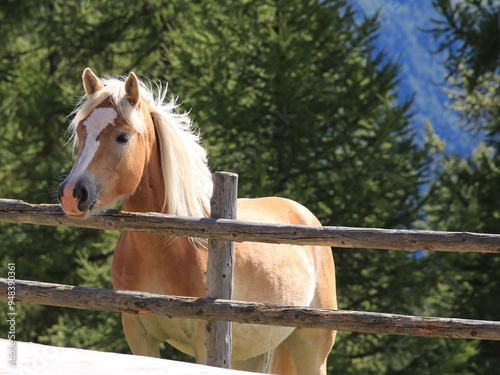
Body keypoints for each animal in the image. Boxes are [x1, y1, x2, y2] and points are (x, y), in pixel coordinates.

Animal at [57, 69, 336, 374]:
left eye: (122, 137)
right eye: (82, 131)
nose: (72, 194)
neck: (166, 245)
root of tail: (302, 213)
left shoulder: (205, 340)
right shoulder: (139, 335)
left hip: (311, 349)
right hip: (253, 352)